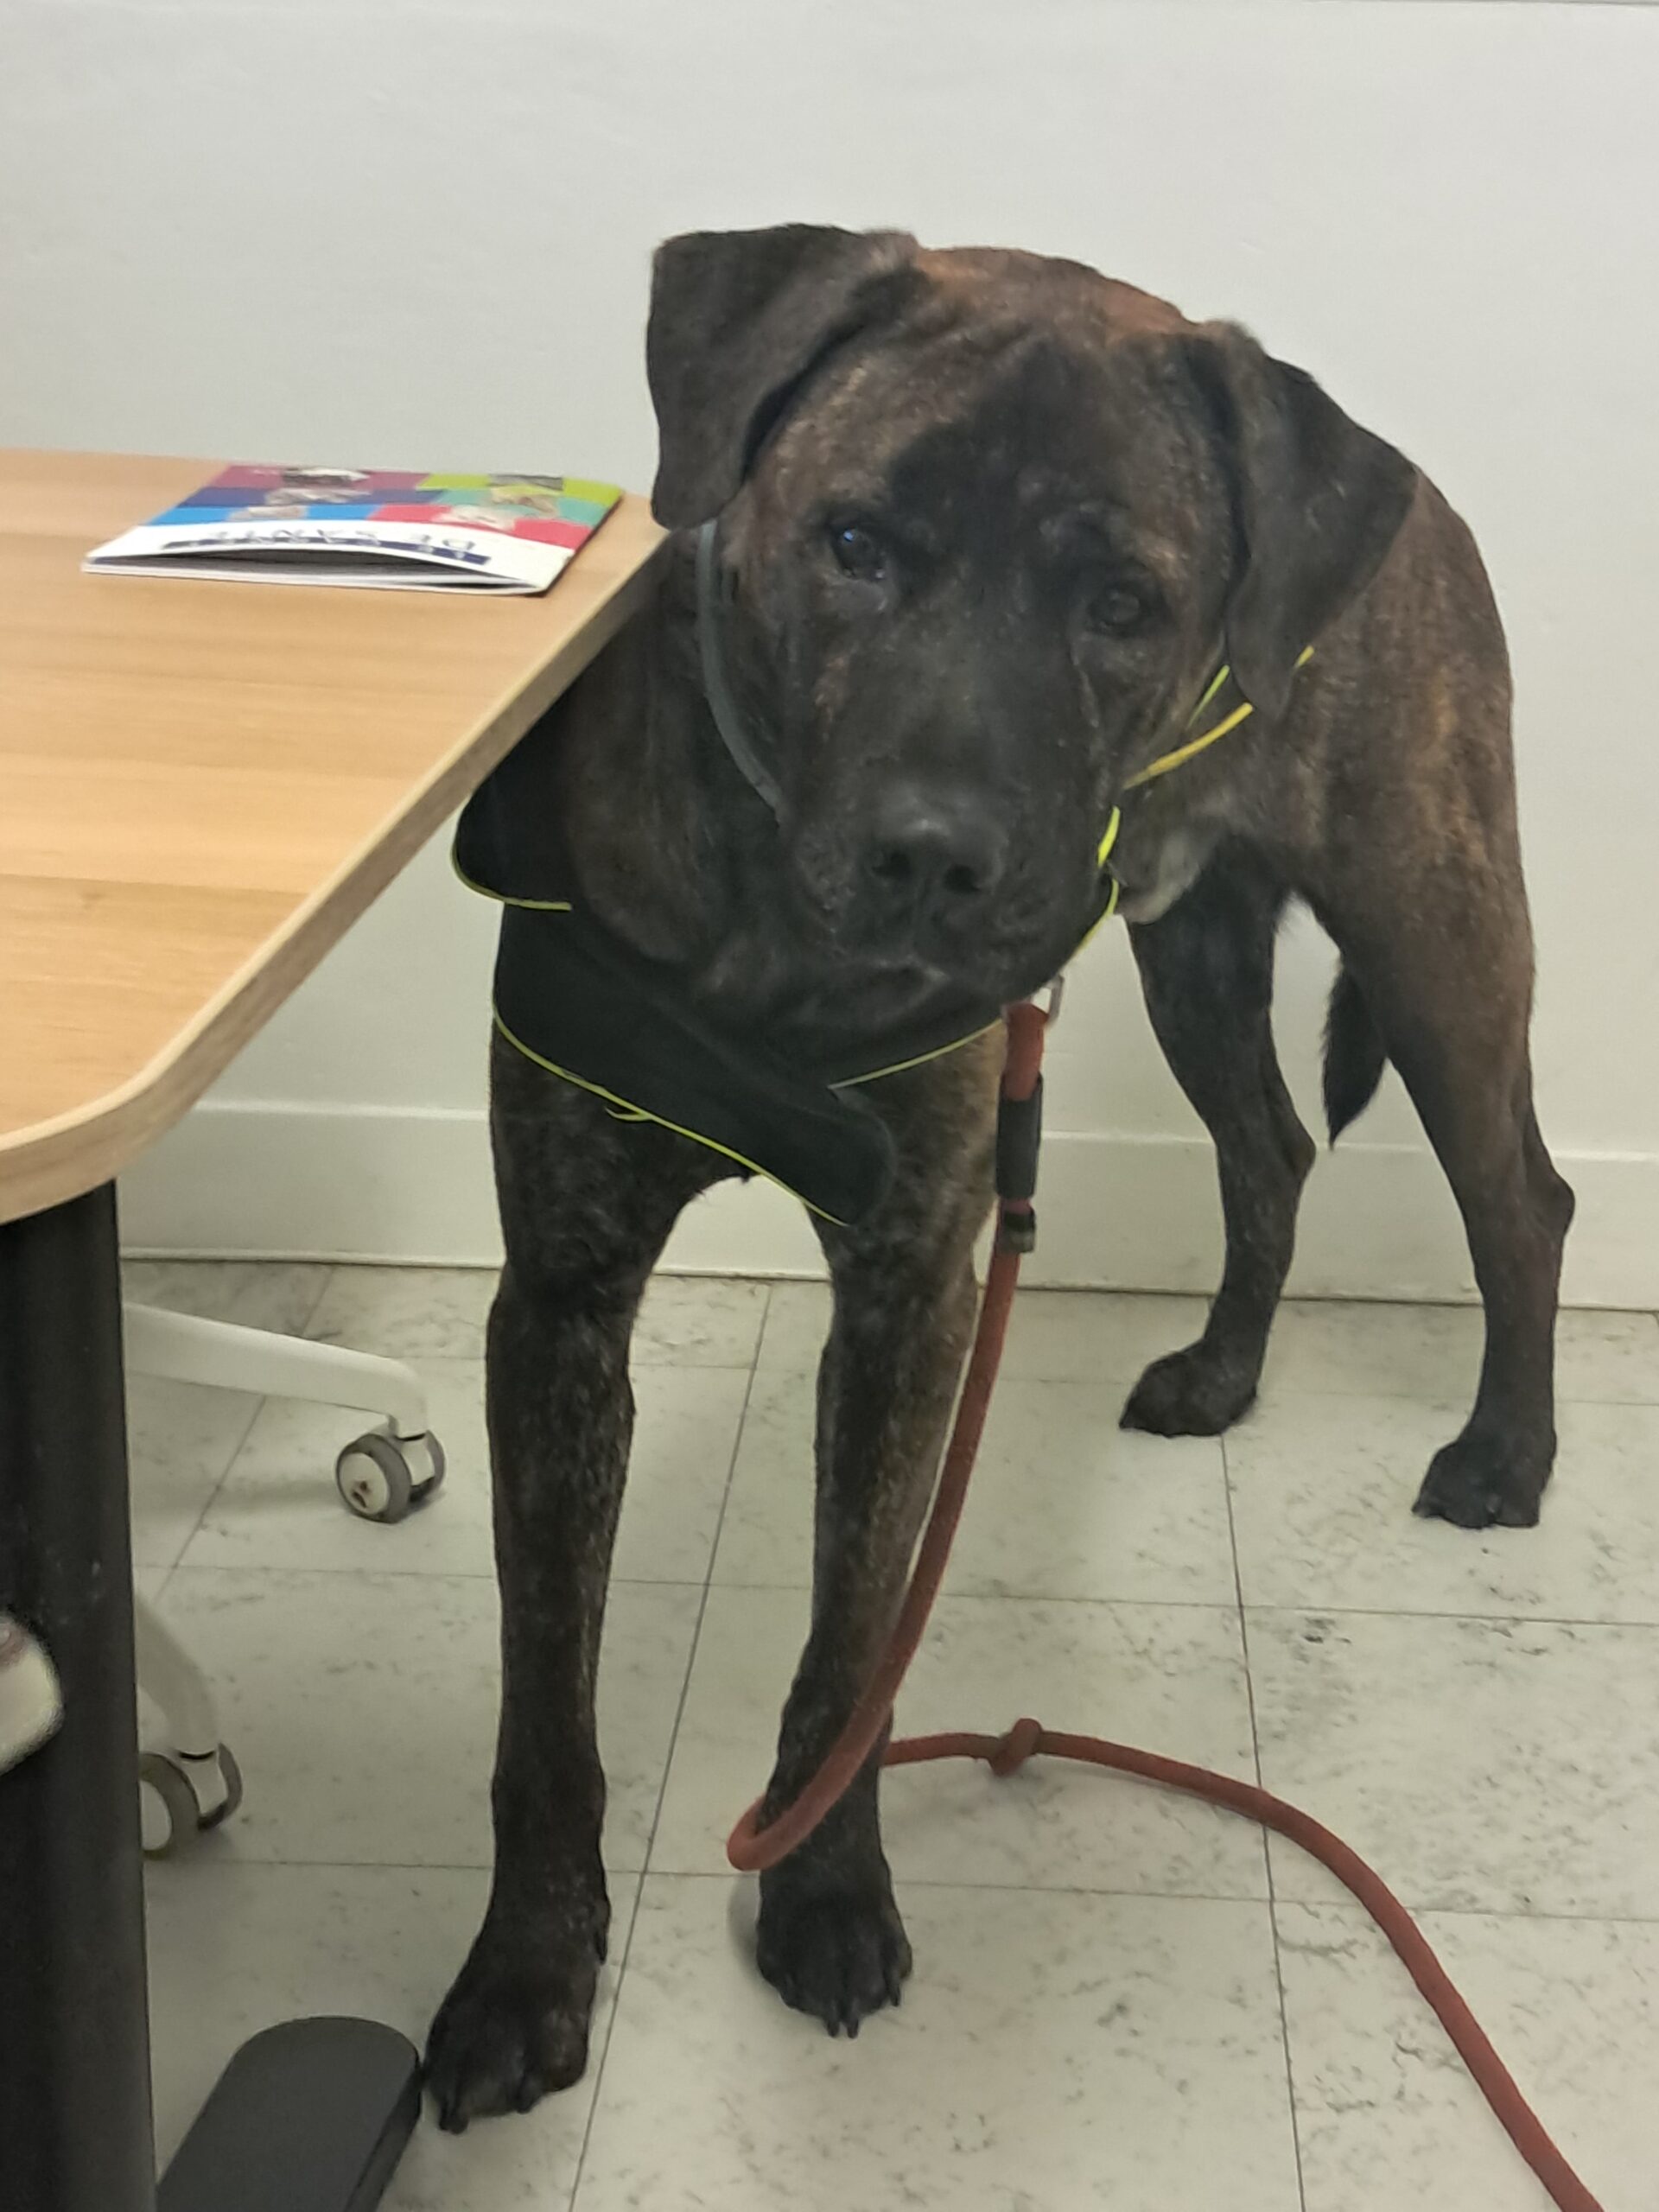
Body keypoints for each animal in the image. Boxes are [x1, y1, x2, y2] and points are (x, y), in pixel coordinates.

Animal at [423, 225, 1572, 2129]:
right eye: (855, 544)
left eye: (1122, 602)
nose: (932, 859)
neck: (776, 929)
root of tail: (1423, 509)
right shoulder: (565, 1304)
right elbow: (542, 1700)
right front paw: (524, 1966)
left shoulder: (908, 1292)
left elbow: (853, 1643)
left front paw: (822, 1883)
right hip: (1197, 946)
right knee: (1268, 1151)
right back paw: (1225, 1372)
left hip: (1434, 927)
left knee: (1519, 1197)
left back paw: (1507, 1451)